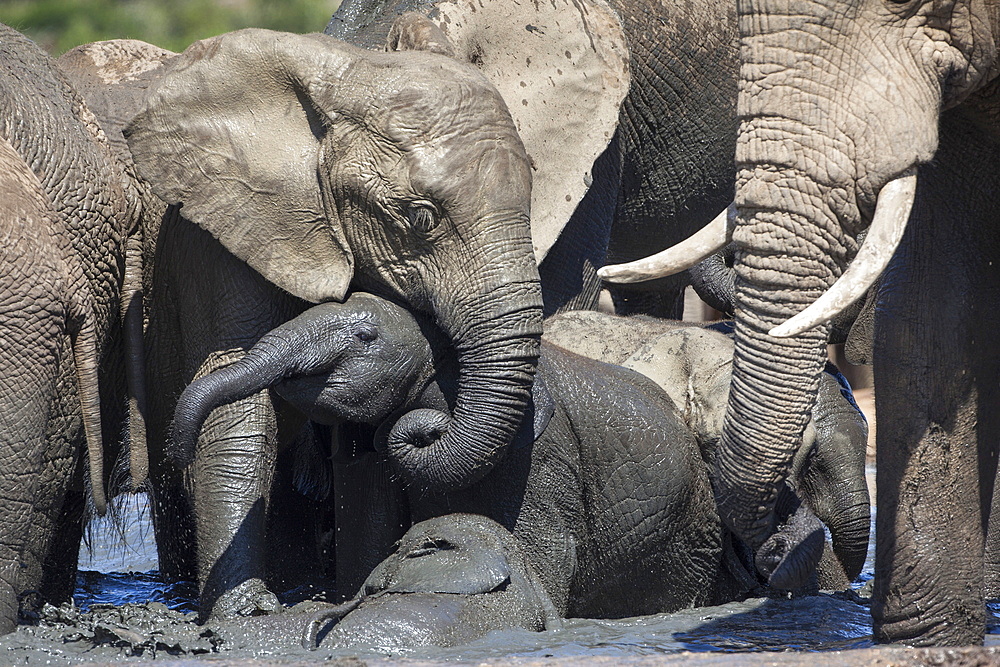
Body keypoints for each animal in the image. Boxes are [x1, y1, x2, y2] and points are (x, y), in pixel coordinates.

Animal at [123, 26, 624, 620]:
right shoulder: (226, 234)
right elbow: (240, 412)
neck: (351, 74)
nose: (174, 448)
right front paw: (245, 615)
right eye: (423, 218)